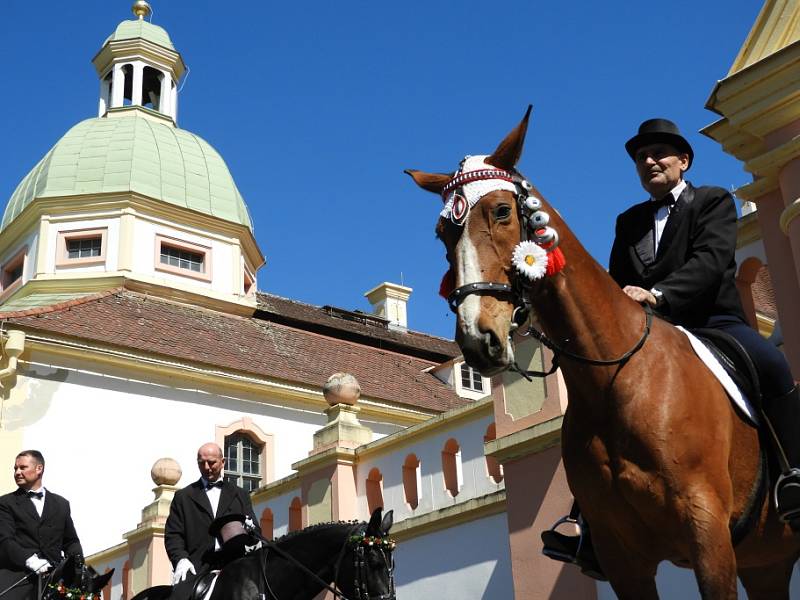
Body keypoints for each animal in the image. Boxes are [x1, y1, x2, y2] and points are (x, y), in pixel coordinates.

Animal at [406, 109, 800, 600]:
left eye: (501, 211)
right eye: (443, 232)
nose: (479, 338)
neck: (618, 383)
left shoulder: (709, 537)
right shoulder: (621, 557)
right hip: (766, 563)